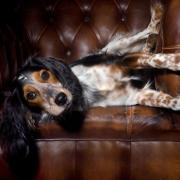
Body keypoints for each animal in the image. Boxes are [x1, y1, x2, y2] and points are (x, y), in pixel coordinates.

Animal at [1, 2, 180, 166]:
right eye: (31, 95)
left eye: (45, 74)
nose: (61, 98)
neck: (87, 88)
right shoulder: (136, 94)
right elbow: (167, 101)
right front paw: (176, 101)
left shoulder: (124, 61)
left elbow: (159, 59)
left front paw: (176, 61)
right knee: (147, 44)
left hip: (116, 48)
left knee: (150, 30)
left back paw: (157, 15)